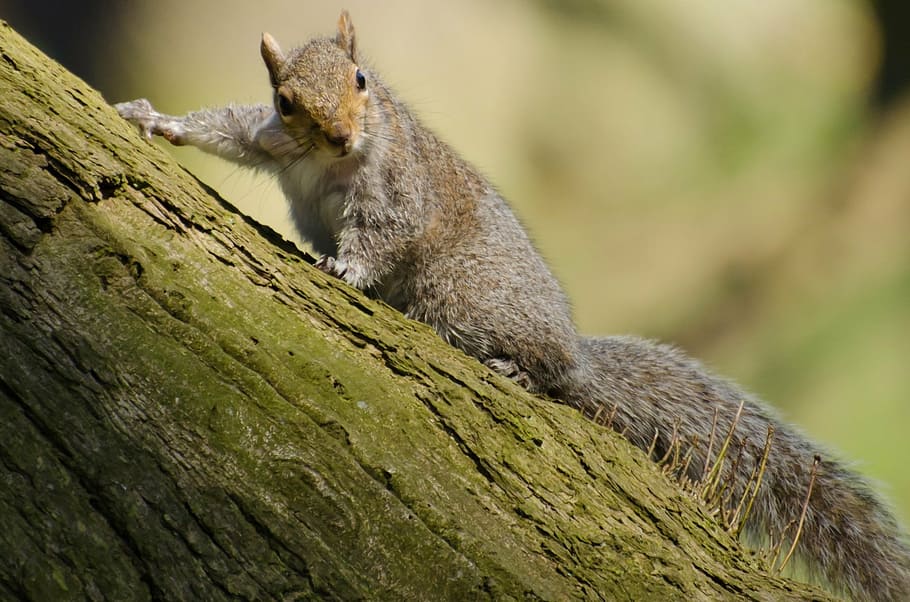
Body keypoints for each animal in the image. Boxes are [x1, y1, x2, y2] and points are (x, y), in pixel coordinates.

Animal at [116, 11, 910, 600]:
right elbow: (229, 129)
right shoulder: (273, 139)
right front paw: (158, 120)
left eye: (362, 79)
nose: (341, 134)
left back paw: (523, 370)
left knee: (549, 374)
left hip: (463, 298)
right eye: (287, 100)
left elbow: (384, 234)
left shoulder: (397, 190)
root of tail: (574, 348)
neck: (331, 159)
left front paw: (345, 264)